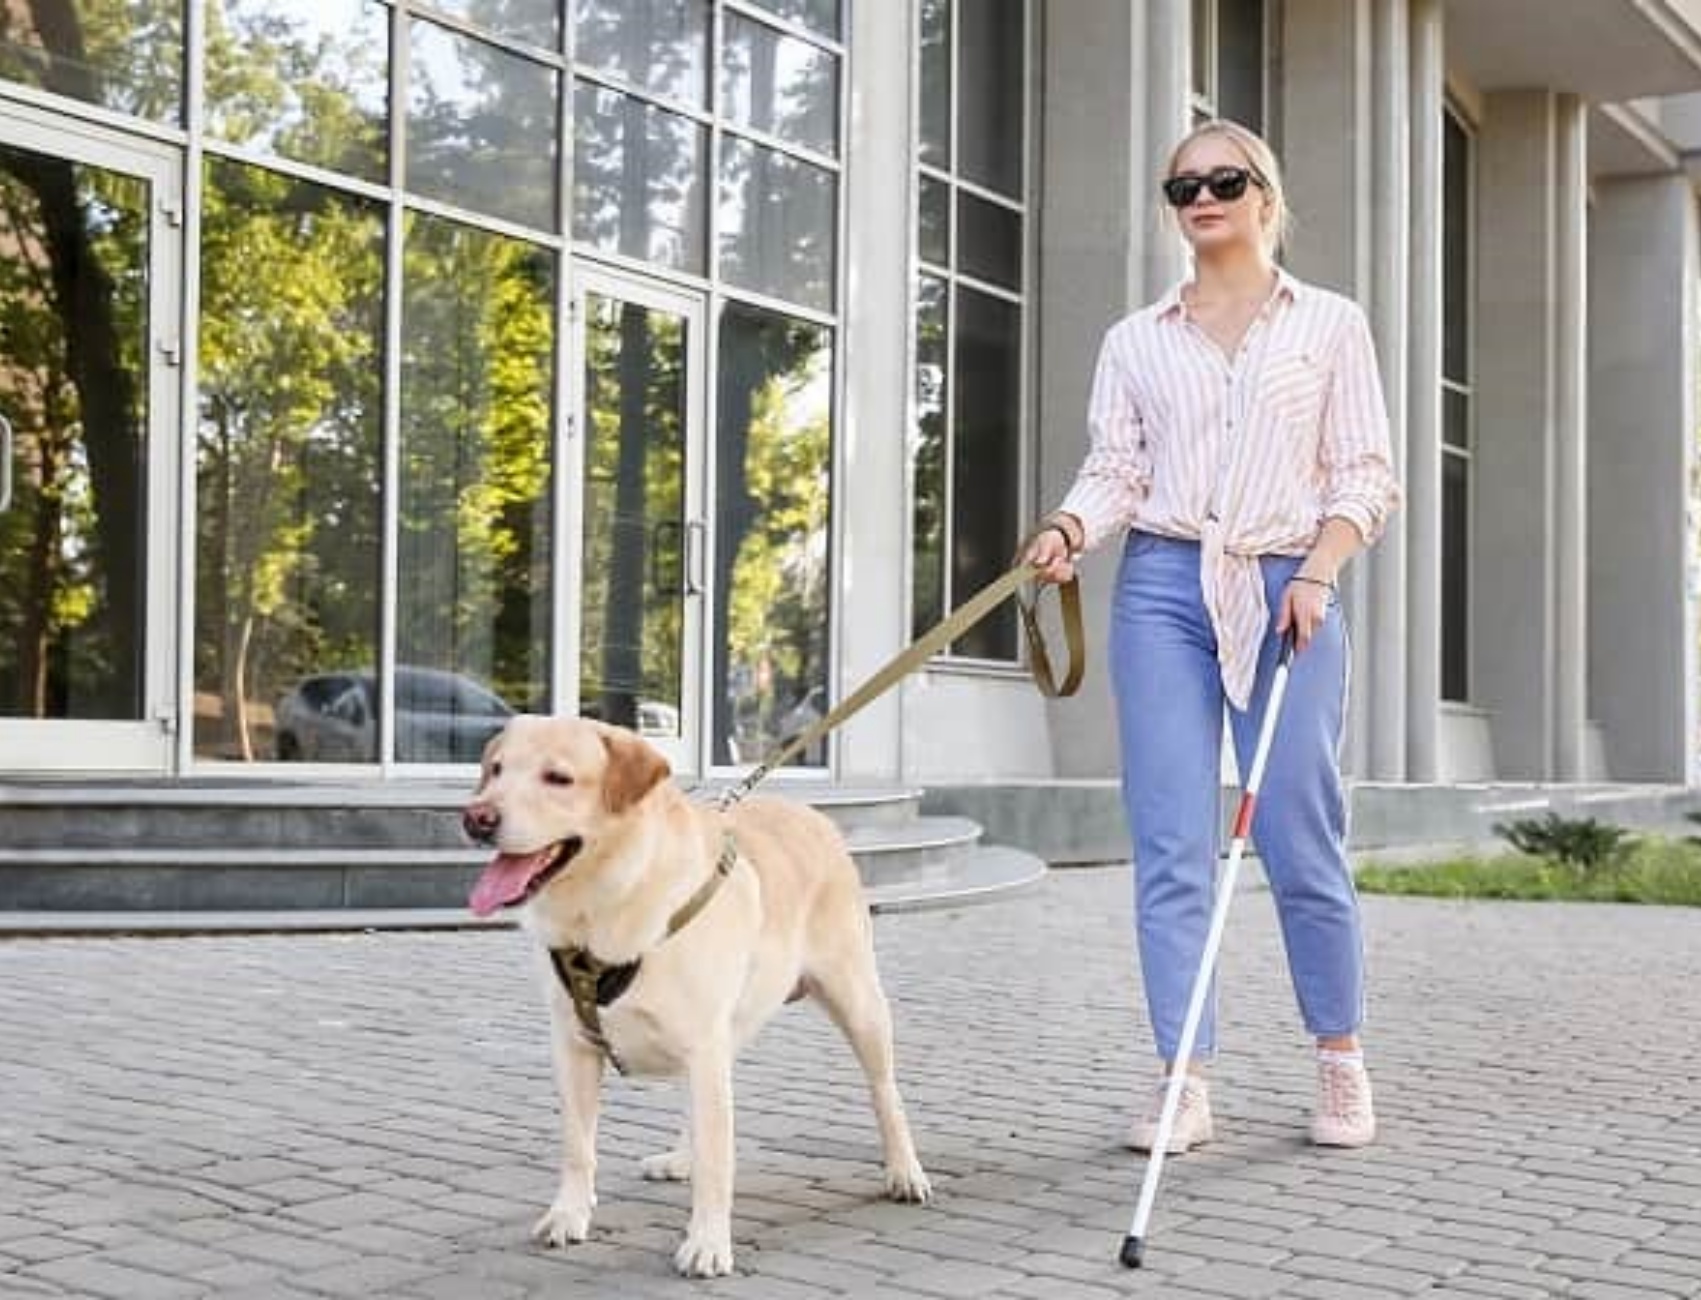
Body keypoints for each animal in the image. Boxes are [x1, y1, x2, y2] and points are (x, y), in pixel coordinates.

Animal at [462, 721, 932, 1279]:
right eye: (495, 770)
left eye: (558, 778)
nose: (477, 817)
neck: (608, 903)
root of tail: (812, 813)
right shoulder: (573, 1046)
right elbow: (578, 1145)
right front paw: (568, 1214)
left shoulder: (703, 1046)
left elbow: (717, 1161)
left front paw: (708, 1242)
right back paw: (679, 1159)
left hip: (857, 1001)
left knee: (885, 1092)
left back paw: (905, 1170)